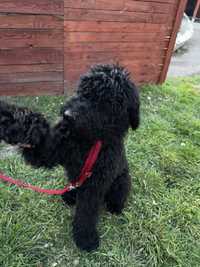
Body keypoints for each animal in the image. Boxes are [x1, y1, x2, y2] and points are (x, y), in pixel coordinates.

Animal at [0, 63, 140, 252]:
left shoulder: (95, 184)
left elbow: (87, 210)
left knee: (118, 194)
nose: (67, 115)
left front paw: (85, 238)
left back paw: (115, 207)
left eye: (104, 101)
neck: (87, 141)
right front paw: (14, 121)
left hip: (121, 181)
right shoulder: (52, 152)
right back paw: (69, 196)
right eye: (82, 91)